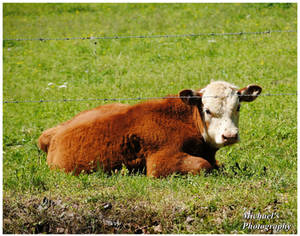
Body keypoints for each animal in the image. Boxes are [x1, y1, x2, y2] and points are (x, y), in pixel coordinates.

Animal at [38, 81, 262, 177]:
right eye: (207, 110)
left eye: (238, 107)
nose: (229, 135)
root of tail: (53, 134)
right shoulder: (160, 162)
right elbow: (203, 165)